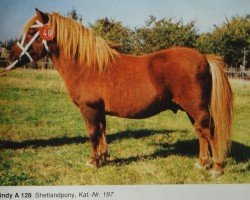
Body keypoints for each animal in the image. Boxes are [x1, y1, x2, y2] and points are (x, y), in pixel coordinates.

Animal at [6, 9, 232, 178]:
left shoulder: (89, 108)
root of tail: (204, 57)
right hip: (191, 110)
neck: (88, 65)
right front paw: (104, 157)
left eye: (31, 33)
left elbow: (93, 133)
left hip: (196, 108)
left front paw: (93, 161)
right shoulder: (99, 110)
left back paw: (216, 168)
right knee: (201, 132)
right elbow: (102, 131)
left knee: (208, 131)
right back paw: (201, 163)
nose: (11, 55)